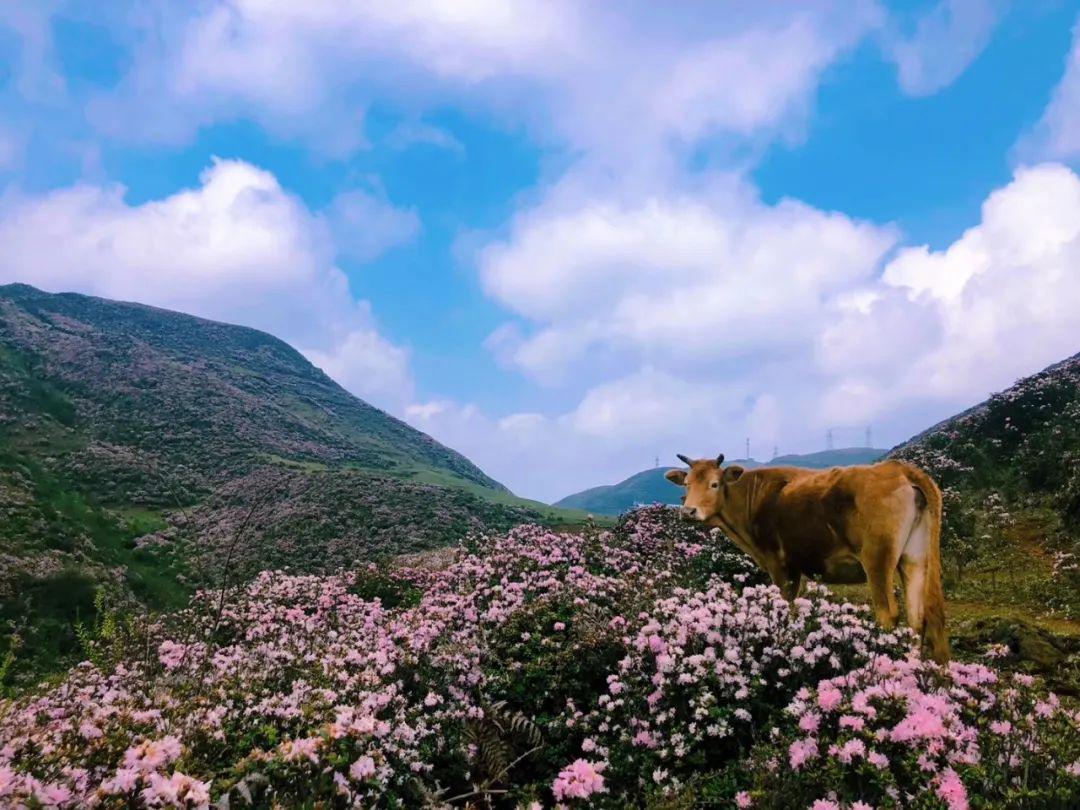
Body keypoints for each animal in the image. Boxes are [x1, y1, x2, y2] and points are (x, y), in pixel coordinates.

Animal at [660, 453, 950, 660]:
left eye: (714, 483)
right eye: (687, 484)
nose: (688, 511)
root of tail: (898, 469)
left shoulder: (777, 562)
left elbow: (784, 605)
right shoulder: (798, 568)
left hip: (878, 559)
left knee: (889, 614)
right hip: (914, 558)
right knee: (919, 616)